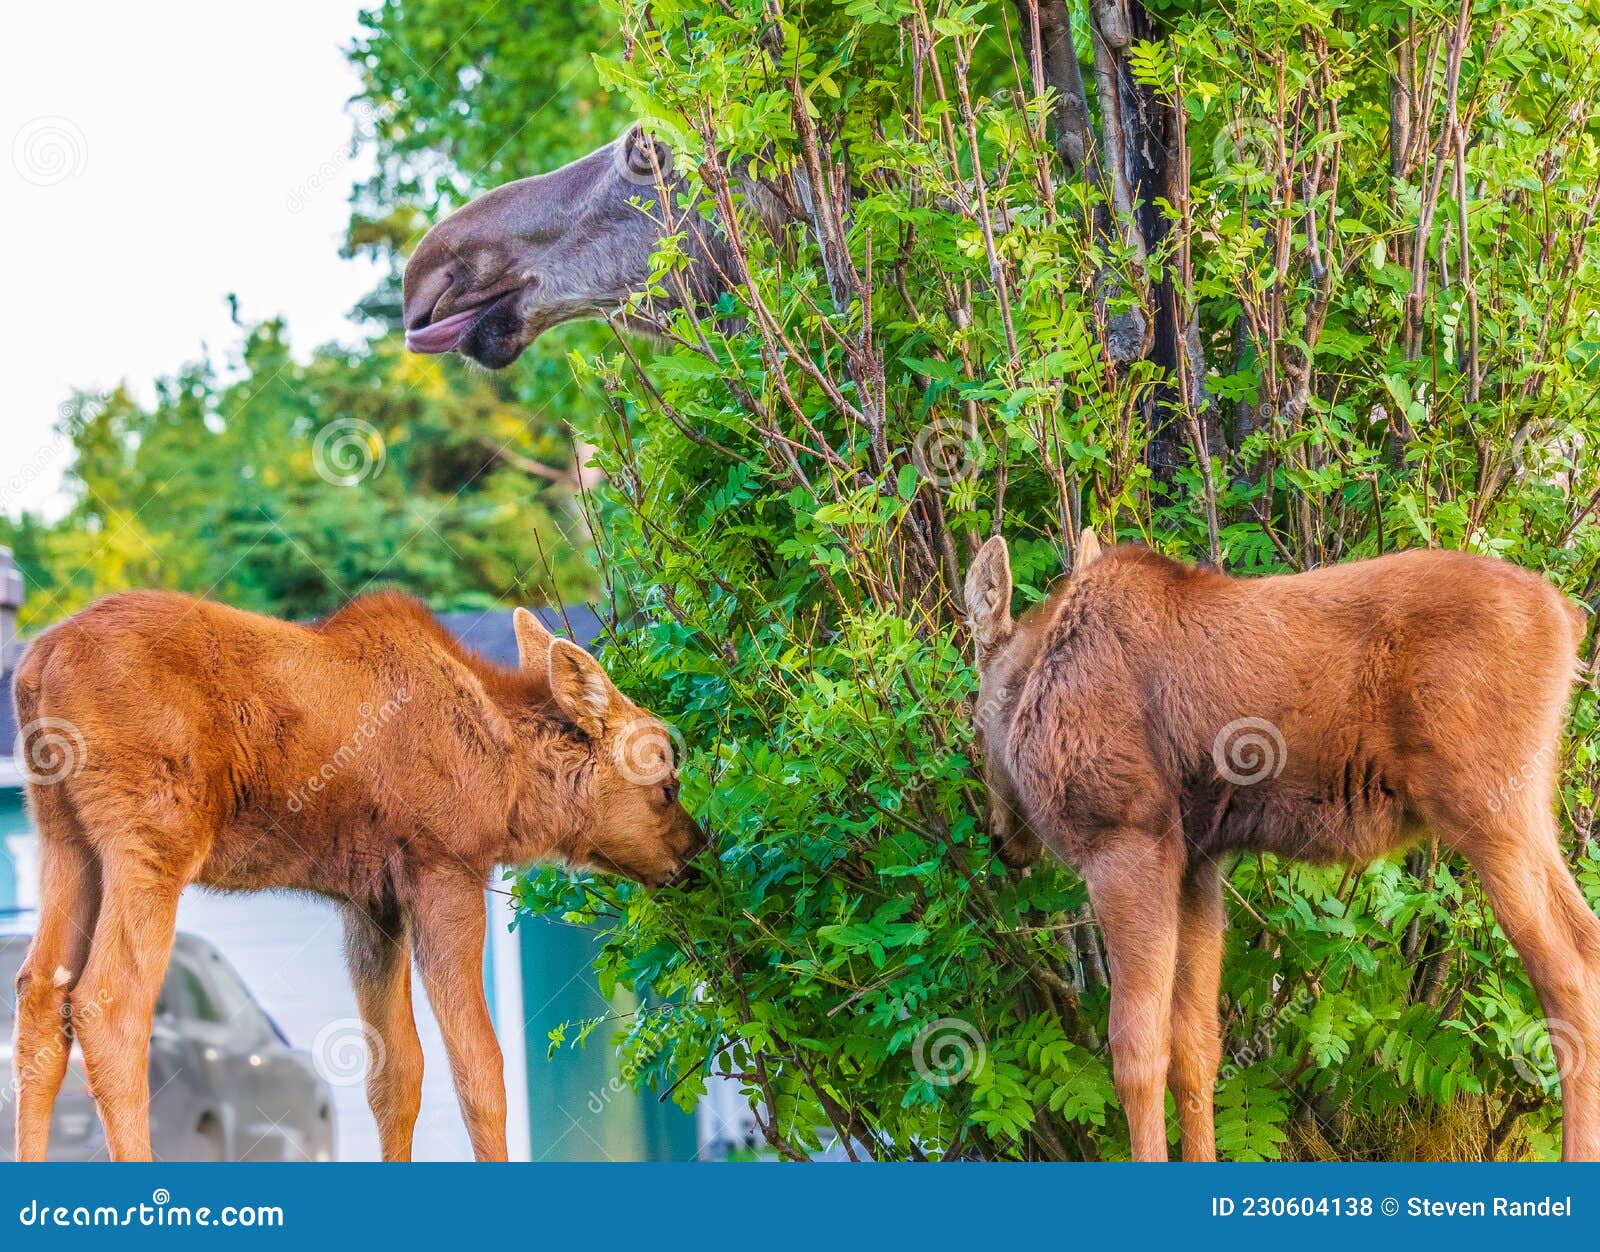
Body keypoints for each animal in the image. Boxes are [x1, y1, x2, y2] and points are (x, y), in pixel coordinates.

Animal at [9, 592, 704, 1159]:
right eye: (666, 785)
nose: (697, 857)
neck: (509, 785)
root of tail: (36, 665)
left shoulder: (372, 902)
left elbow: (395, 1073)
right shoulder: (444, 869)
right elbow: (479, 1066)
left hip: (67, 841)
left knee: (40, 994)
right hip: (153, 837)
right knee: (109, 1003)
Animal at [960, 534, 1600, 1159]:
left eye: (973, 718)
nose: (1000, 839)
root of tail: (1569, 620)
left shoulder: (1126, 842)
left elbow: (1137, 1054)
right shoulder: (1196, 862)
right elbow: (1196, 1048)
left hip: (1487, 805)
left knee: (1568, 971)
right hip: (1524, 805)